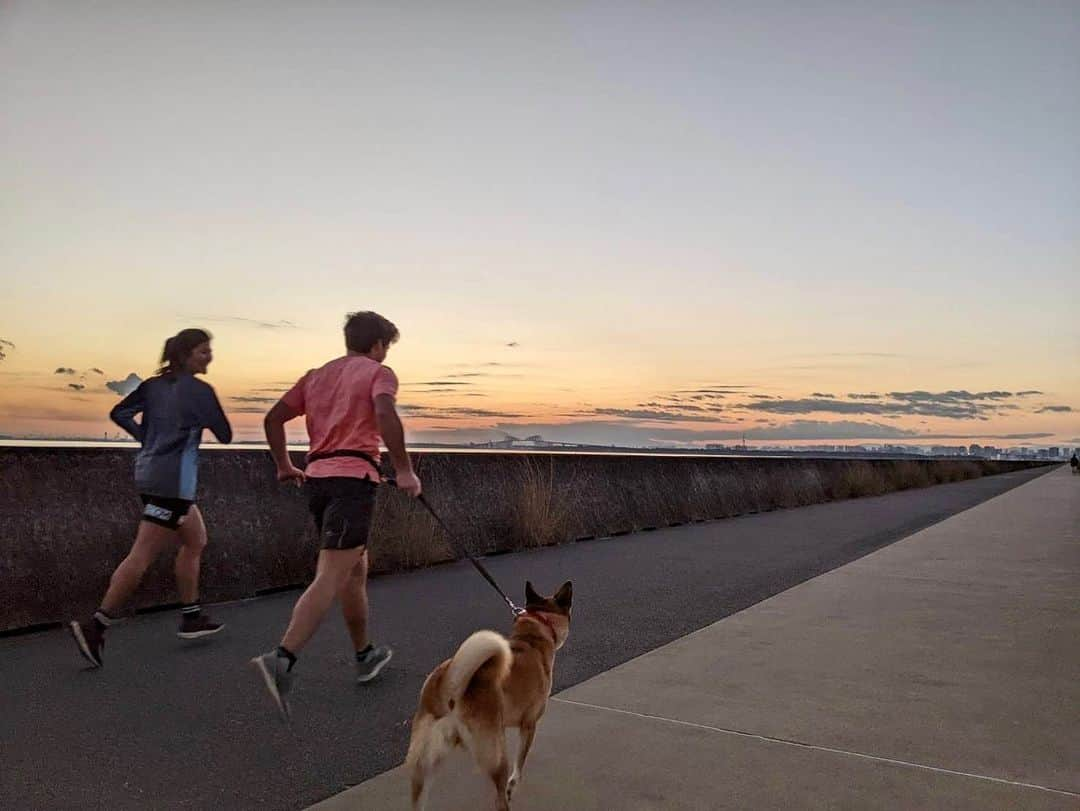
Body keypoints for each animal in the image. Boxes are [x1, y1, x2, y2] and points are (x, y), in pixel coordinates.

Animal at [406, 578, 574, 807]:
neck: (532, 637)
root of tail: (449, 684)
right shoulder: (528, 725)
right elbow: (520, 761)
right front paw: (514, 783)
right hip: (495, 753)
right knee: (499, 796)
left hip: (427, 758)